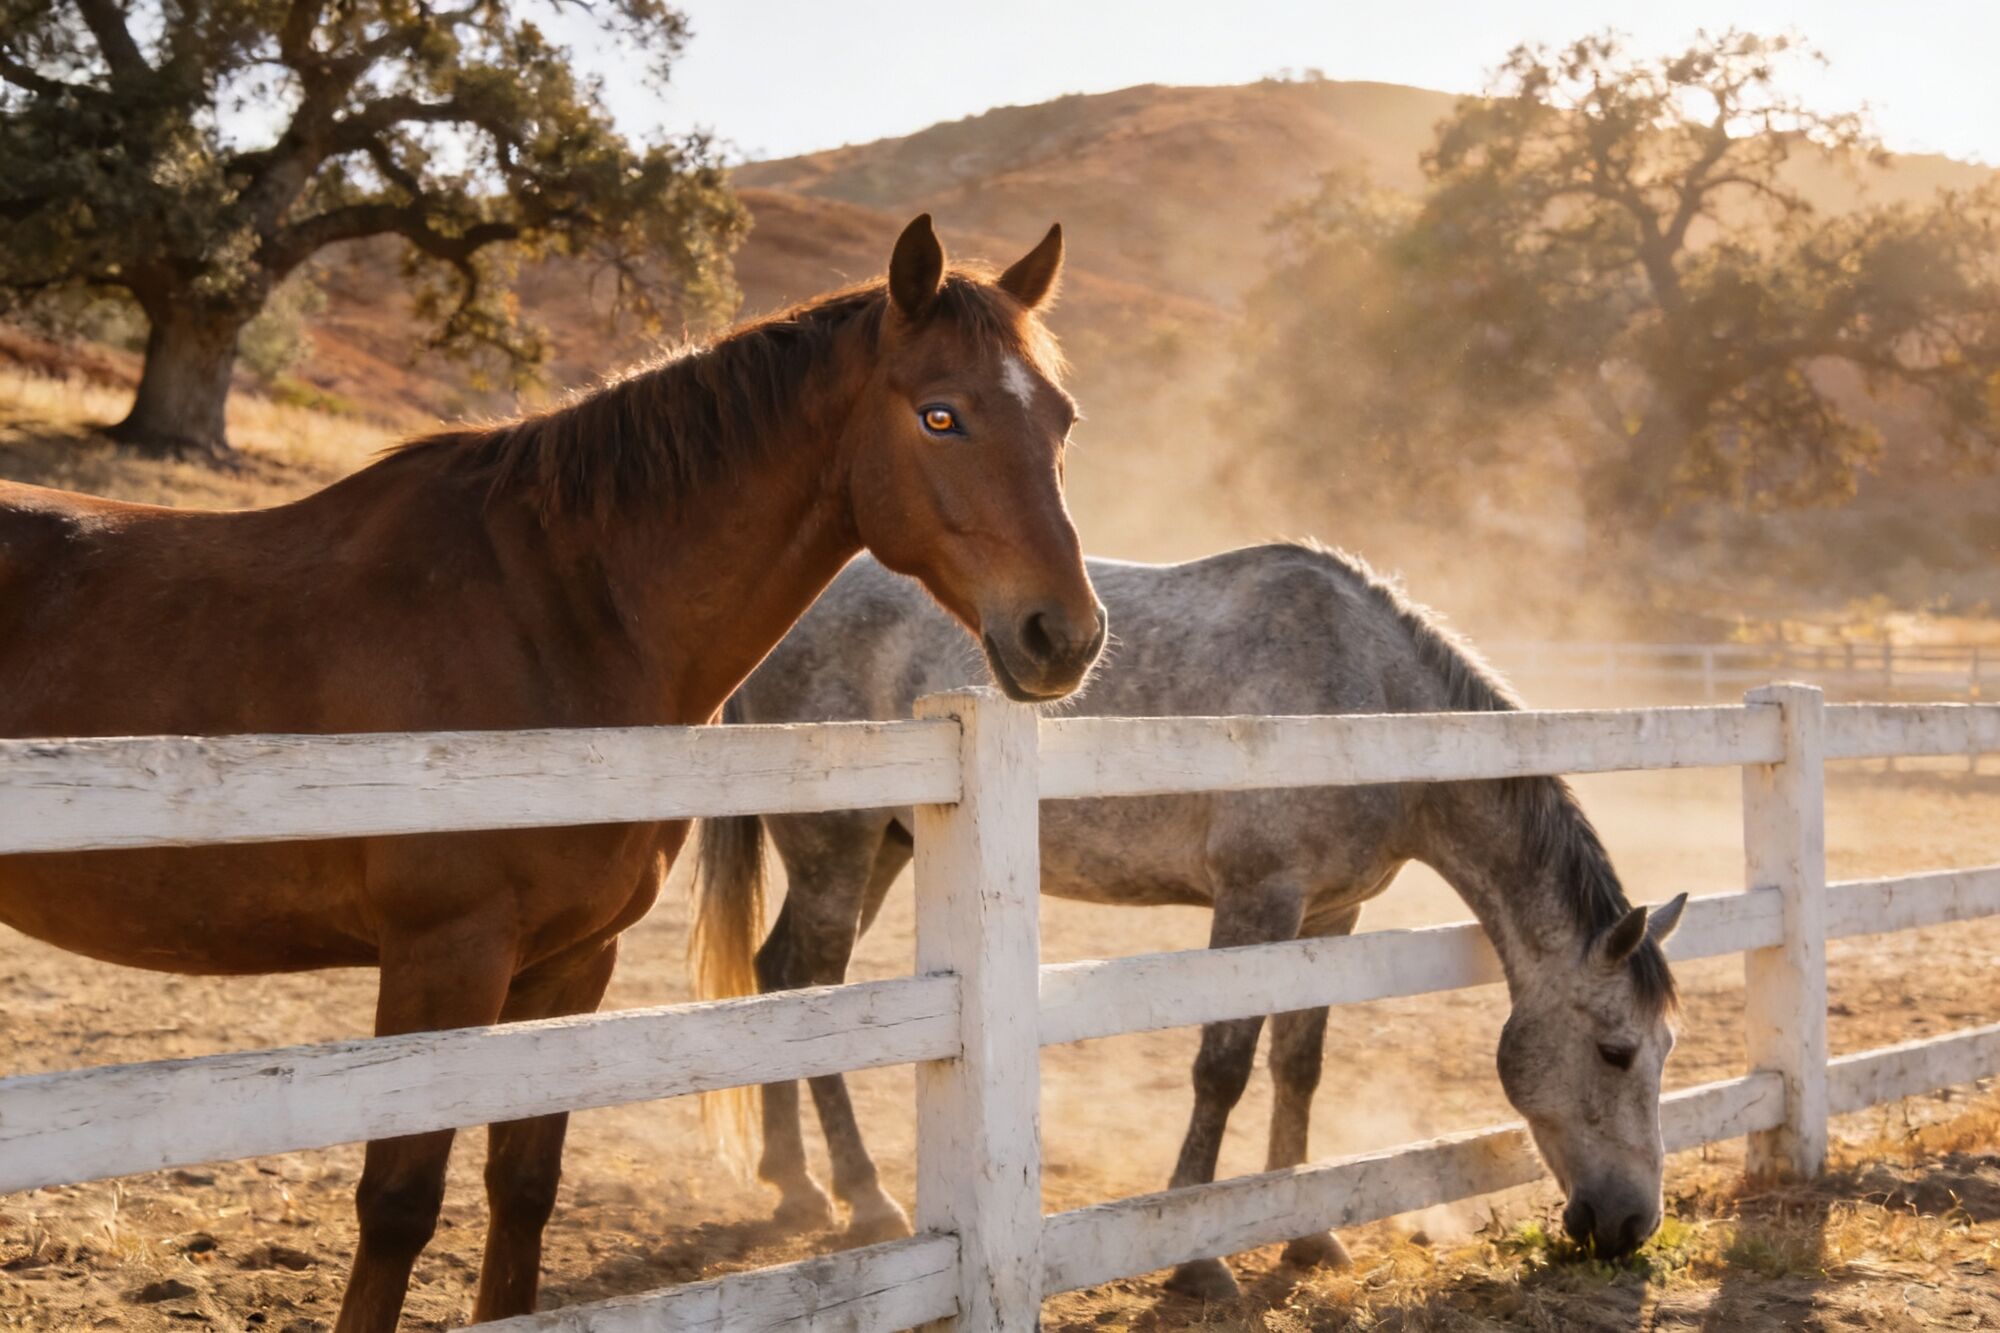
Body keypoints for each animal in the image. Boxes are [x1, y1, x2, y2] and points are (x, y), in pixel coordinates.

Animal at [0, 215, 1106, 1331]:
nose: (1065, 635)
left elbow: (522, 1188)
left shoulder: (572, 961)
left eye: (1062, 421)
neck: (557, 609)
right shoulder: (445, 959)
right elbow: (399, 1201)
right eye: (939, 414)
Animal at [695, 543, 1687, 1298]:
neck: (1362, 703)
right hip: (838, 843)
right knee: (815, 994)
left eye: (1664, 1050)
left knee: (779, 981)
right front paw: (1199, 1257)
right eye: (1615, 1051)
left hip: (887, 846)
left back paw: (796, 1187)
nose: (1632, 1222)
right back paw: (864, 1198)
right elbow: (1224, 1067)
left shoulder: (1333, 912)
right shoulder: (1257, 899)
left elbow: (1298, 1065)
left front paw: (1309, 1236)